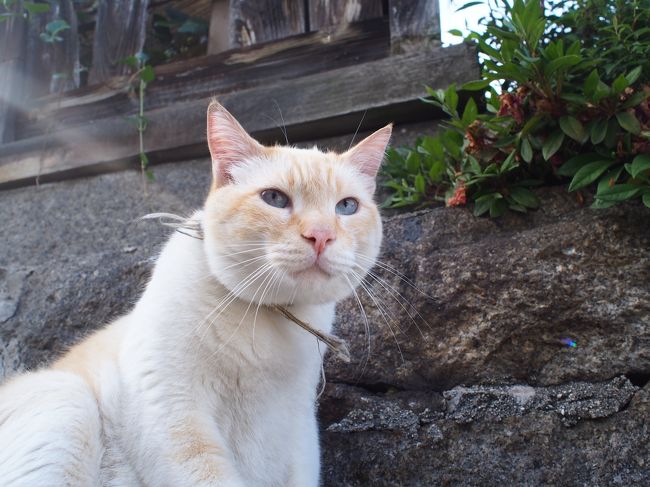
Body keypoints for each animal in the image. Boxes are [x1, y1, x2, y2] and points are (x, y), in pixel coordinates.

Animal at [0, 101, 390, 486]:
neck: (266, 316)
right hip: (67, 399)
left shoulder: (299, 432)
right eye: (275, 199)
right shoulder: (175, 412)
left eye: (347, 207)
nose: (322, 235)